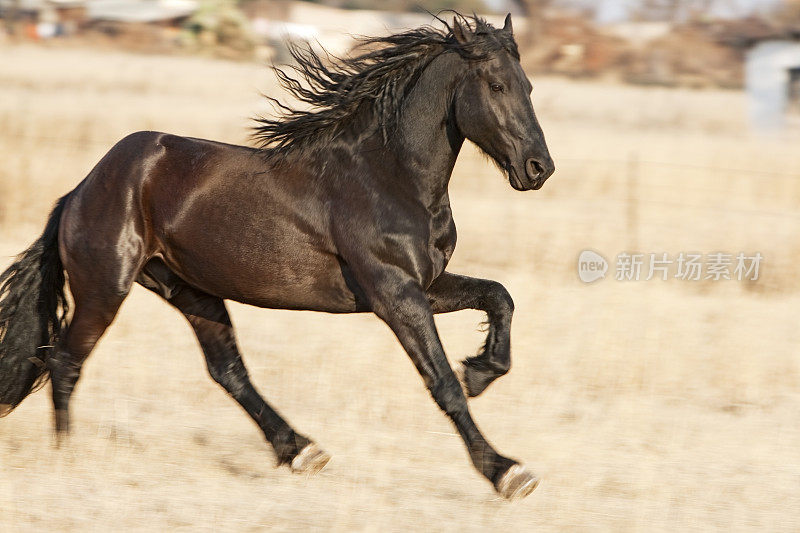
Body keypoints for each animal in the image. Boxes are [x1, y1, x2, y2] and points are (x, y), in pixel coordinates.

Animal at [0, 15, 552, 498]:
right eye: (497, 86)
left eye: (528, 87)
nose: (538, 168)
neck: (389, 176)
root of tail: (79, 191)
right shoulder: (395, 292)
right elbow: (442, 383)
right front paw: (507, 472)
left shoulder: (425, 284)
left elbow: (499, 297)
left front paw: (482, 369)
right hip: (105, 287)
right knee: (66, 360)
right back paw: (68, 460)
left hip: (190, 291)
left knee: (227, 371)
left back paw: (301, 450)